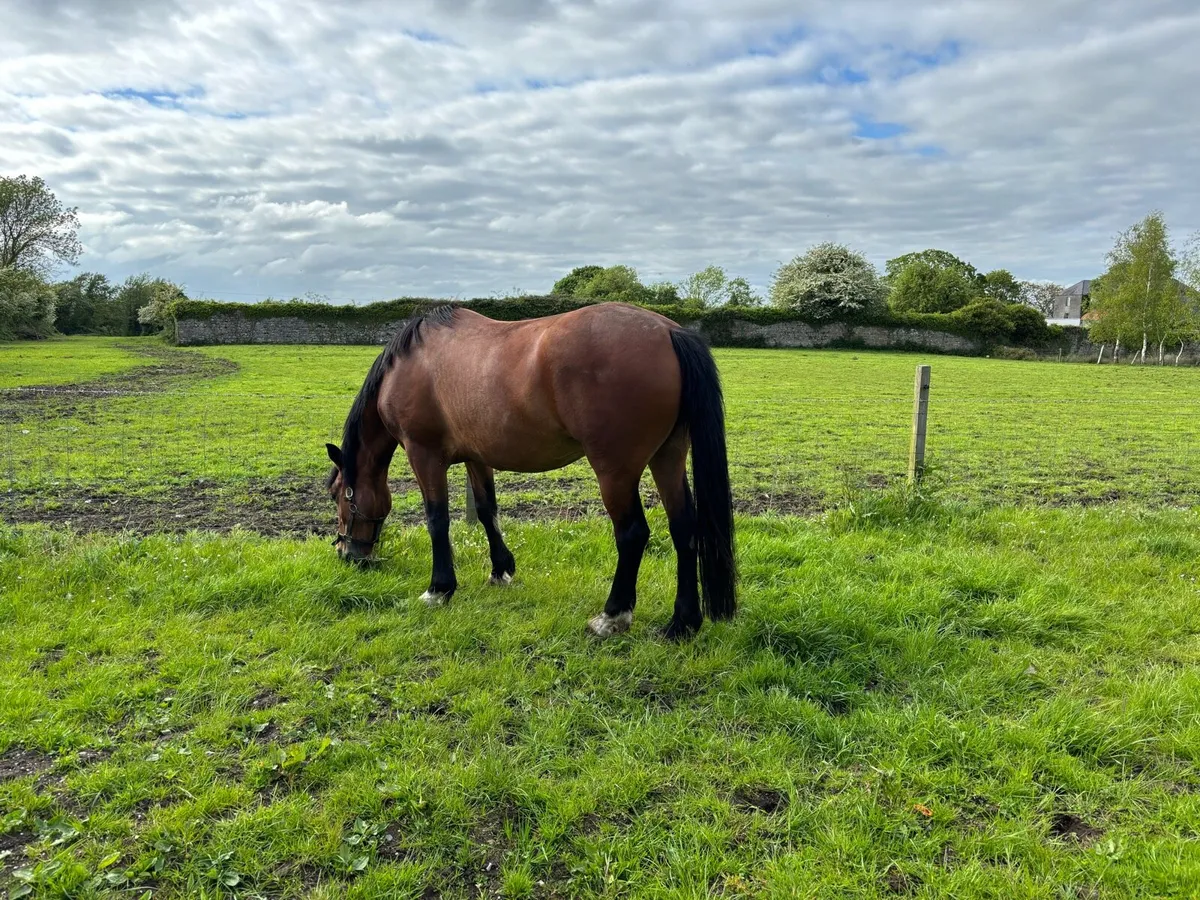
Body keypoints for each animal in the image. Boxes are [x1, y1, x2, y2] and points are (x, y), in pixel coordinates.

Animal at [323, 301, 737, 640]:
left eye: (338, 495)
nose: (348, 554)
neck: (412, 364)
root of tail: (668, 331)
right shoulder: (477, 456)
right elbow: (487, 511)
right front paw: (501, 570)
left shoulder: (424, 455)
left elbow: (436, 519)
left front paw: (439, 589)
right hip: (668, 457)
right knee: (684, 529)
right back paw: (682, 623)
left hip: (615, 471)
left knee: (633, 534)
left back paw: (612, 617)